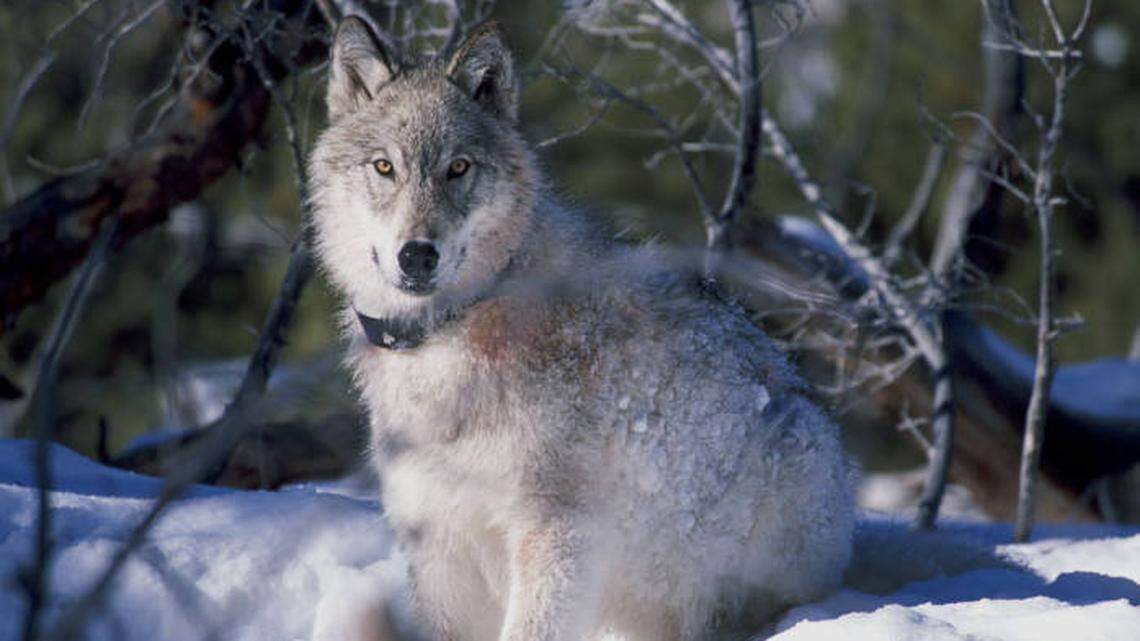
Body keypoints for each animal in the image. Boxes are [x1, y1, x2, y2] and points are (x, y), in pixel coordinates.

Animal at [308, 16, 854, 641]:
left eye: (458, 168)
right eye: (384, 167)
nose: (417, 255)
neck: (452, 330)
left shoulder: (555, 531)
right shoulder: (438, 541)